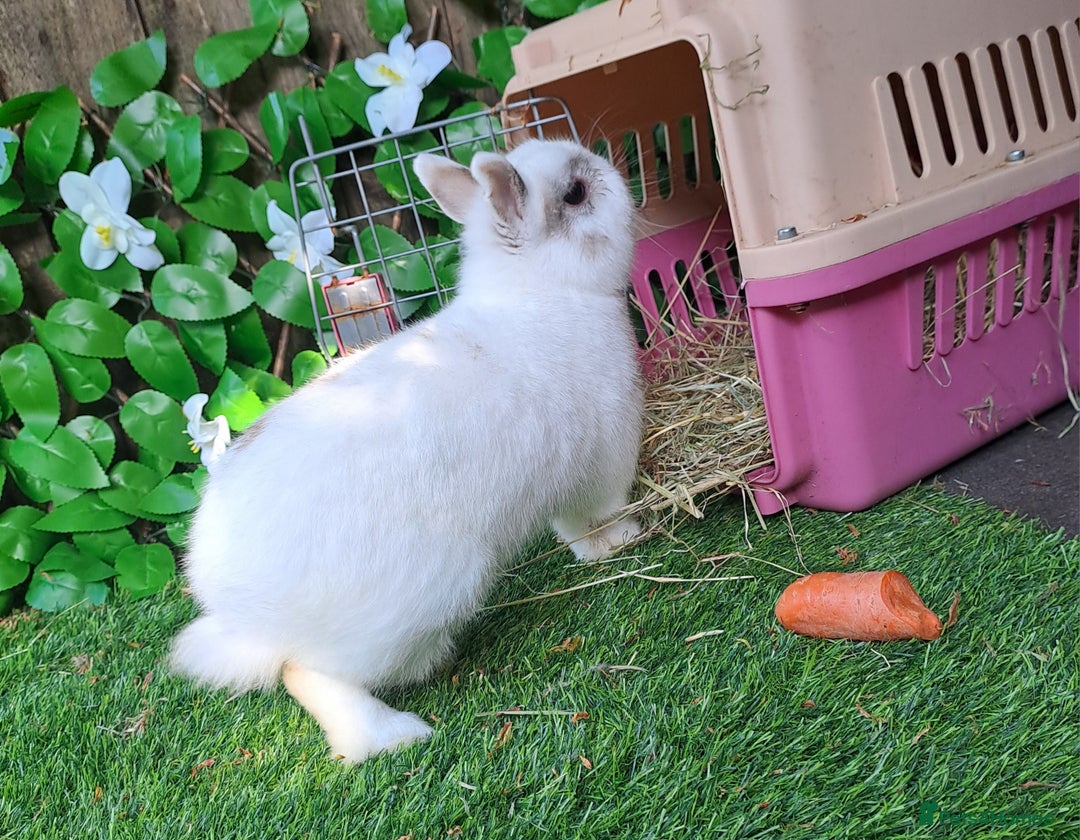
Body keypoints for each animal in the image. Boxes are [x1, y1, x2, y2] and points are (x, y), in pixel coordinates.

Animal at [168, 138, 644, 764]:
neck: (544, 290)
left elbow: (572, 529)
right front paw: (626, 541)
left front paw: (599, 554)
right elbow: (600, 515)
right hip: (411, 606)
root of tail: (239, 611)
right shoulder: (604, 460)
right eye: (575, 194)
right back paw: (394, 734)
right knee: (305, 672)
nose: (618, 173)